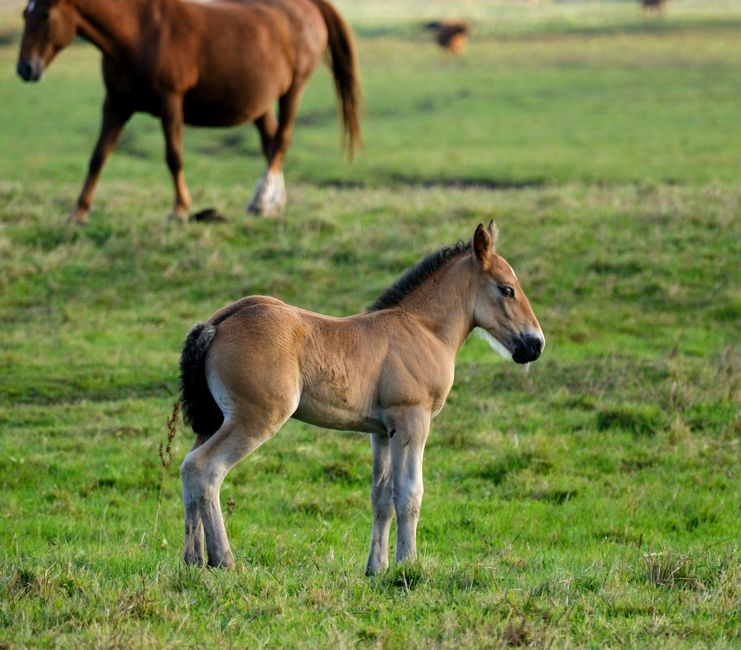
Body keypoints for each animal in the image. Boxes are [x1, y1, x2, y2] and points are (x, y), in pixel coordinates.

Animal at [16, 0, 361, 223]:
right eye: (24, 14)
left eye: (45, 15)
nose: (25, 68)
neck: (140, 31)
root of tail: (309, 6)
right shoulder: (116, 104)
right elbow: (98, 157)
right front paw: (78, 212)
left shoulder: (171, 99)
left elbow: (174, 156)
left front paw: (180, 208)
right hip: (261, 103)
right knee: (271, 140)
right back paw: (273, 203)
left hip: (294, 89)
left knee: (282, 139)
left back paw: (262, 201)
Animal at [178, 222, 544, 573]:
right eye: (507, 289)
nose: (535, 344)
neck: (423, 329)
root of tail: (217, 323)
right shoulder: (412, 421)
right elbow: (409, 494)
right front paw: (407, 566)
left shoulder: (381, 432)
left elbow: (381, 497)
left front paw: (376, 568)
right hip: (255, 418)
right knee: (204, 468)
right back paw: (222, 559)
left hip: (214, 420)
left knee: (188, 470)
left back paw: (193, 559)